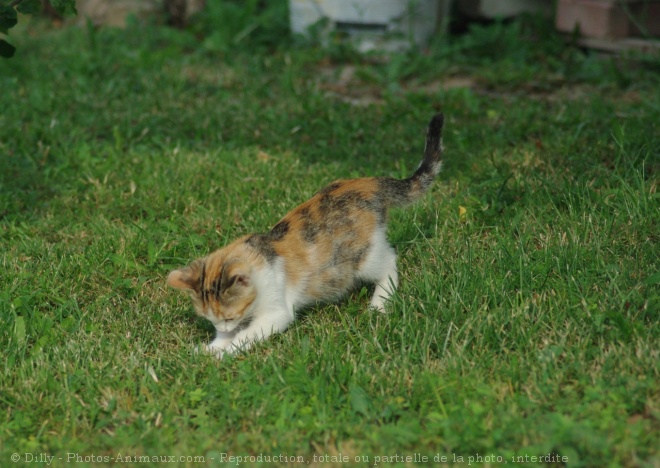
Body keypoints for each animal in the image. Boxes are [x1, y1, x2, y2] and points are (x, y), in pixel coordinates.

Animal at [166, 114, 444, 358]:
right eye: (211, 319)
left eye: (229, 317)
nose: (222, 327)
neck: (259, 256)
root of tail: (368, 183)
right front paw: (210, 348)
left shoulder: (276, 311)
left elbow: (249, 333)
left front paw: (225, 353)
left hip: (361, 256)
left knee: (389, 261)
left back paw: (380, 303)